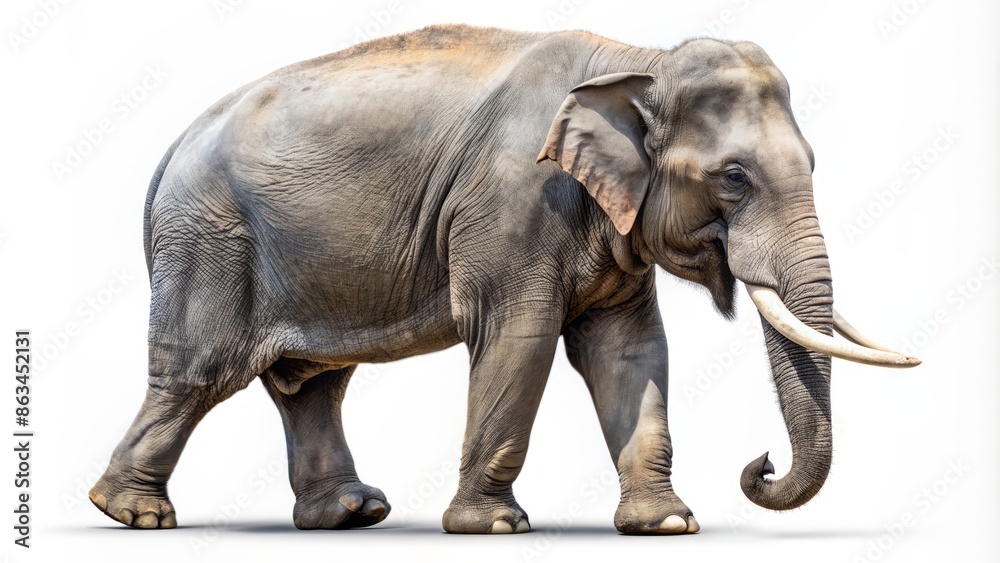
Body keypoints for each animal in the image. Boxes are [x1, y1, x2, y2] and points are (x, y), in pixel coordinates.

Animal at [89, 24, 920, 535]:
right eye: (735, 177)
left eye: (812, 163)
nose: (760, 462)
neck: (637, 58)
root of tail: (169, 150)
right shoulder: (515, 202)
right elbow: (519, 336)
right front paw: (491, 525)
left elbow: (630, 350)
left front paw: (667, 523)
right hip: (209, 240)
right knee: (200, 374)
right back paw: (133, 513)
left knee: (314, 383)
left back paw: (352, 513)